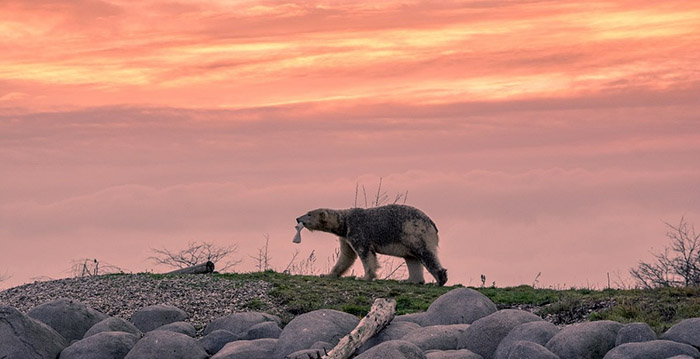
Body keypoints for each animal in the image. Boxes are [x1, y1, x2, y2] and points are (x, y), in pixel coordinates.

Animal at [296, 205, 448, 286]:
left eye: (309, 214)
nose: (297, 218)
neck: (344, 222)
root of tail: (432, 223)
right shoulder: (345, 237)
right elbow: (346, 256)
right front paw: (327, 274)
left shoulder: (358, 230)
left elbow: (366, 253)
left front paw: (364, 277)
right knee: (412, 258)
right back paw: (410, 280)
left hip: (414, 231)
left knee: (425, 253)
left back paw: (440, 279)